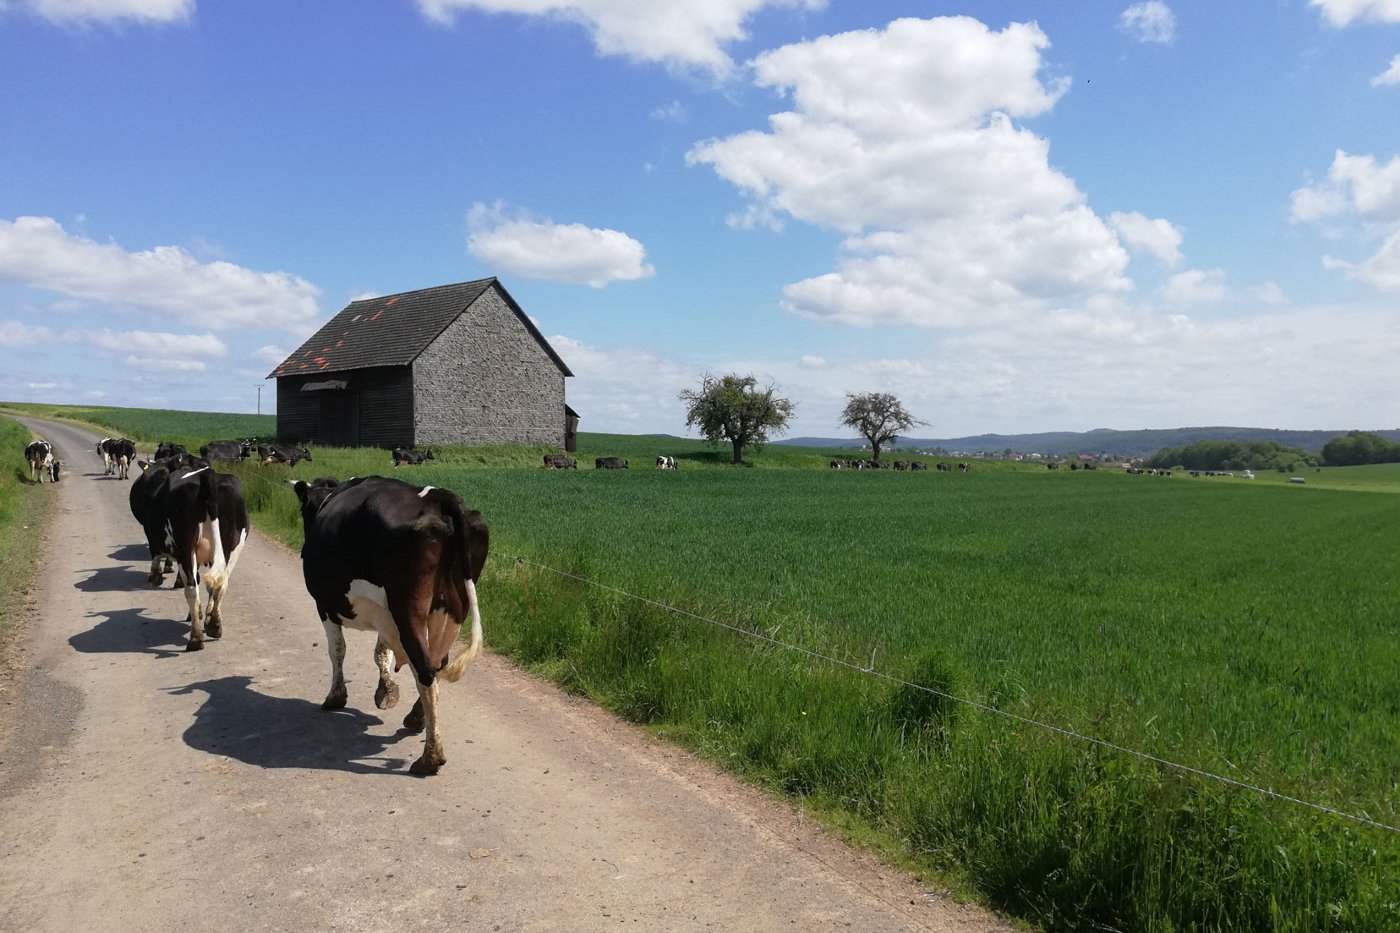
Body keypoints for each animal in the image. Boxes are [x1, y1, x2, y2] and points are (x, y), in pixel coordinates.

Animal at [163, 466, 250, 650]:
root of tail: (208, 474)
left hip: (184, 548)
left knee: (191, 587)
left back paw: (196, 639)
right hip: (233, 546)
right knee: (221, 584)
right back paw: (215, 626)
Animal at [292, 475, 488, 776]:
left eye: (304, 509)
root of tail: (439, 497)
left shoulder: (324, 605)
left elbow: (337, 650)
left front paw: (336, 697)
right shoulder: (384, 614)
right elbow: (381, 652)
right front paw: (385, 691)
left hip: (408, 608)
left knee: (426, 672)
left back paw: (430, 758)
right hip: (451, 609)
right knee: (437, 664)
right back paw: (417, 719)